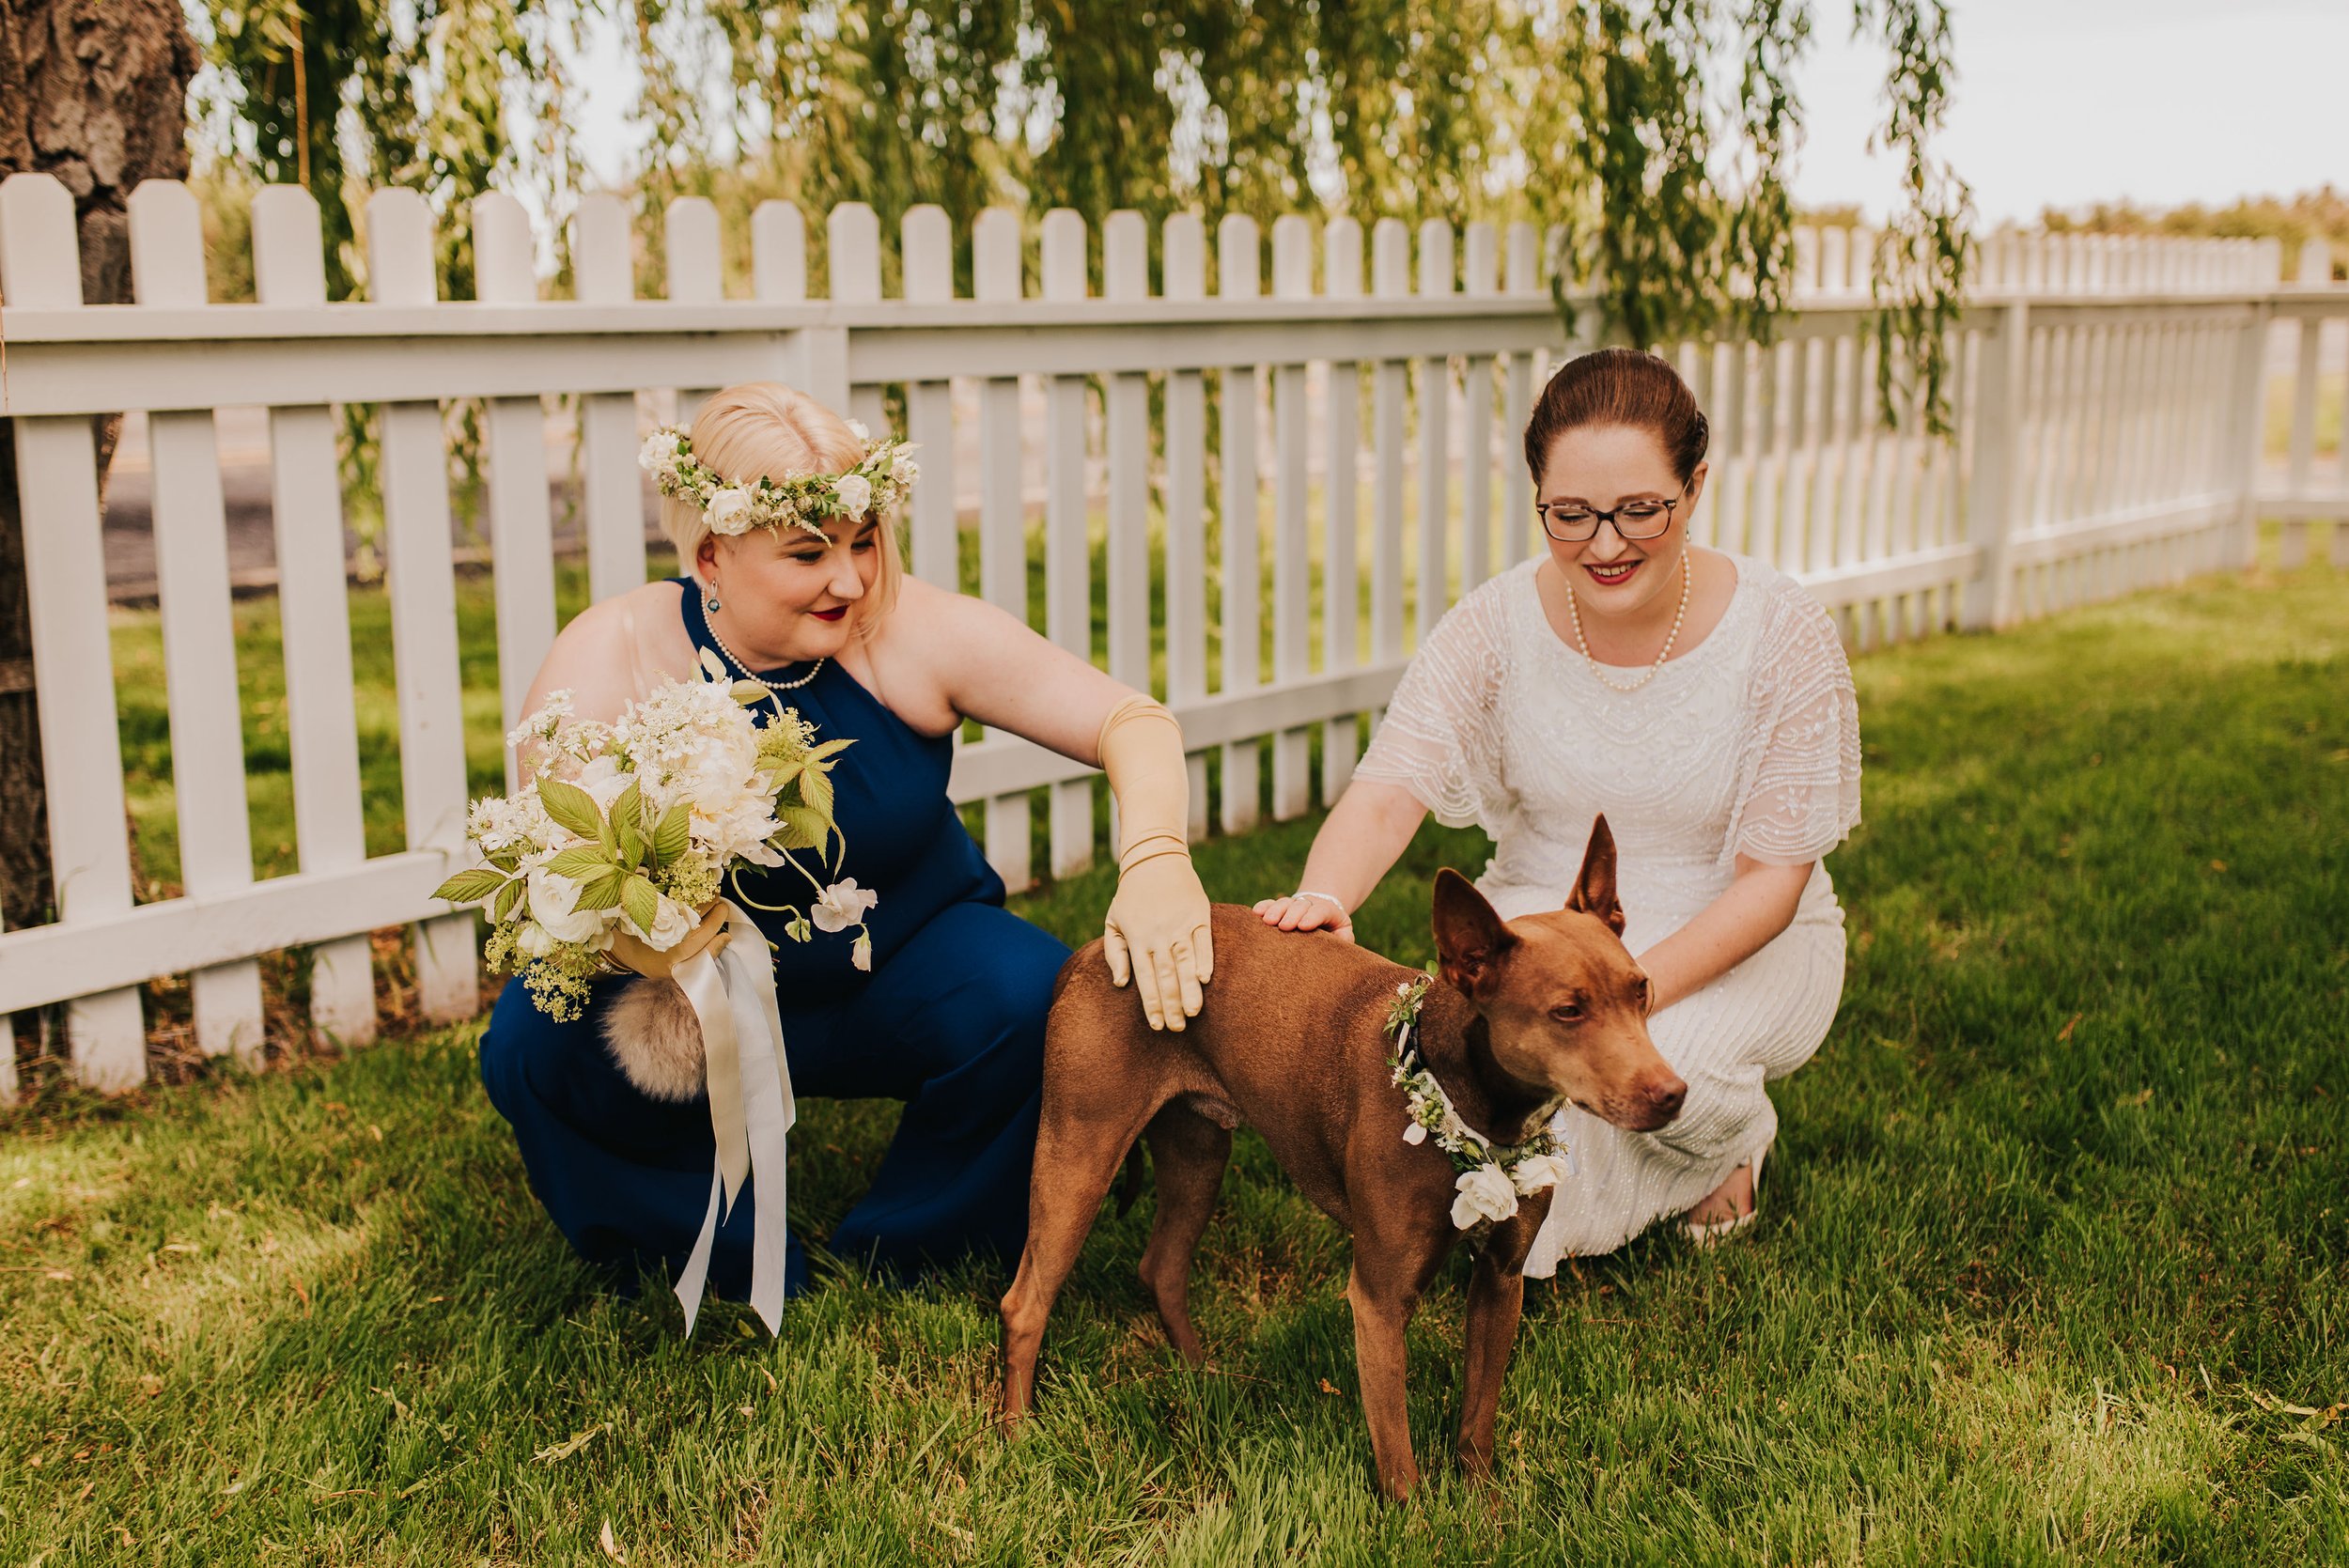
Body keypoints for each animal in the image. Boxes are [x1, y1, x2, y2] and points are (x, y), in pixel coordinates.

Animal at [996, 816, 1691, 1502]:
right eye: (1567, 1011)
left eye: (1642, 990)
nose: (1671, 1093)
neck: (1464, 1099)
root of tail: (1094, 950)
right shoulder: (1379, 1300)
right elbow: (1398, 1455)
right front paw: (1419, 1523)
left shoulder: (1501, 1278)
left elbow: (1478, 1419)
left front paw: (1485, 1508)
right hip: (1078, 1157)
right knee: (1024, 1303)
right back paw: (1018, 1436)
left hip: (1196, 1154)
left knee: (1161, 1265)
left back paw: (1200, 1375)